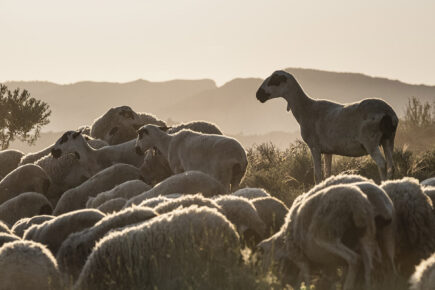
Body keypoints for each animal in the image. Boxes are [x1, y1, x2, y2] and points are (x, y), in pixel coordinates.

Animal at [258, 70, 400, 182]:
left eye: (274, 79)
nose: (258, 94)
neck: (306, 109)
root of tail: (388, 113)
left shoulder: (314, 147)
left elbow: (317, 175)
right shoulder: (328, 151)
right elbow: (328, 174)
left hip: (370, 141)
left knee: (382, 164)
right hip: (388, 139)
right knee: (391, 166)